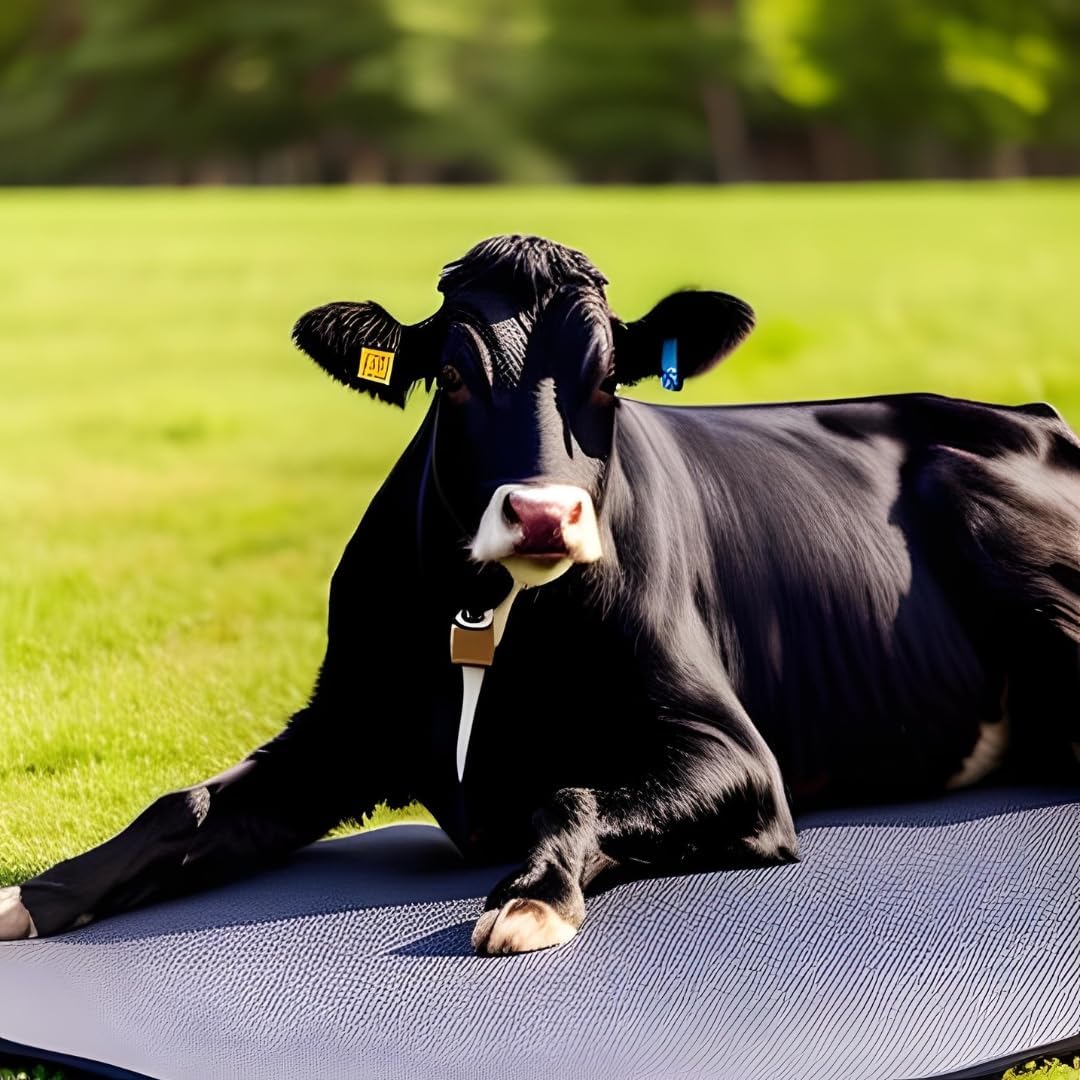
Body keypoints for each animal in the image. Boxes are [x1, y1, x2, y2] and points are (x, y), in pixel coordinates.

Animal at [3, 234, 1079, 956]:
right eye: (450, 377)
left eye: (610, 381)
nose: (543, 514)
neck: (489, 618)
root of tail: (1026, 408)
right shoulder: (342, 723)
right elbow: (180, 805)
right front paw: (34, 898)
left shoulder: (736, 754)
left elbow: (571, 791)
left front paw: (529, 897)